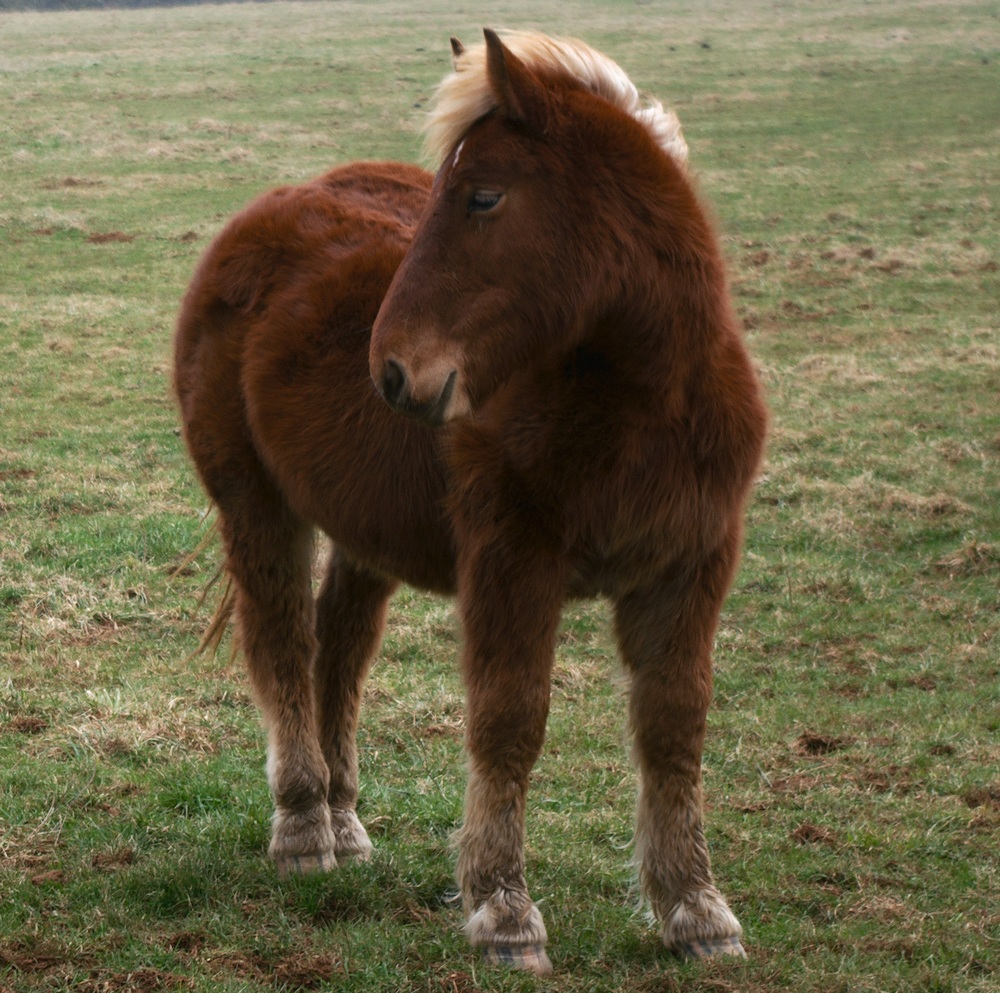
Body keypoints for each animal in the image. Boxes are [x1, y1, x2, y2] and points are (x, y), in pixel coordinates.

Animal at [174, 27, 764, 972]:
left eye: (484, 196)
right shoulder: (512, 561)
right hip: (257, 505)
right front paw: (503, 912)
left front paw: (697, 910)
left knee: (341, 649)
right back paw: (303, 827)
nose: (390, 371)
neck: (642, 406)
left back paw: (343, 816)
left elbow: (675, 728)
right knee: (284, 646)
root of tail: (265, 214)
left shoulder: (690, 566)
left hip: (364, 526)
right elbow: (508, 722)